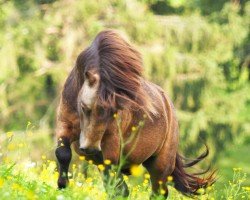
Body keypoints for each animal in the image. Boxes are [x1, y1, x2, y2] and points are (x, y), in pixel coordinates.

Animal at [55, 29, 215, 197]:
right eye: (84, 106)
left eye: (113, 112)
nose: (90, 148)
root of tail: (168, 105)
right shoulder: (65, 125)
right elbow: (63, 153)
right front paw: (62, 187)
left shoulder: (111, 143)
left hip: (160, 164)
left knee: (157, 191)